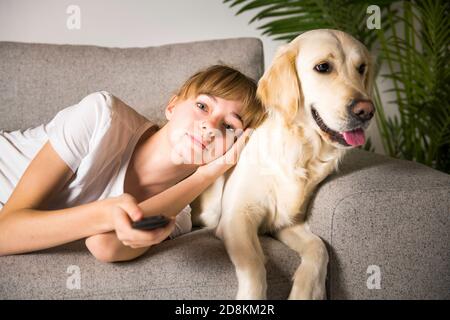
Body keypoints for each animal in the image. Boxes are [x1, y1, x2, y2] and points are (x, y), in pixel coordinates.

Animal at [191, 28, 376, 298]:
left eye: (361, 68)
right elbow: (255, 264)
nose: (366, 110)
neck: (299, 149)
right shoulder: (235, 219)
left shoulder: (285, 223)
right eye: (323, 67)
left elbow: (319, 247)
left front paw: (306, 291)